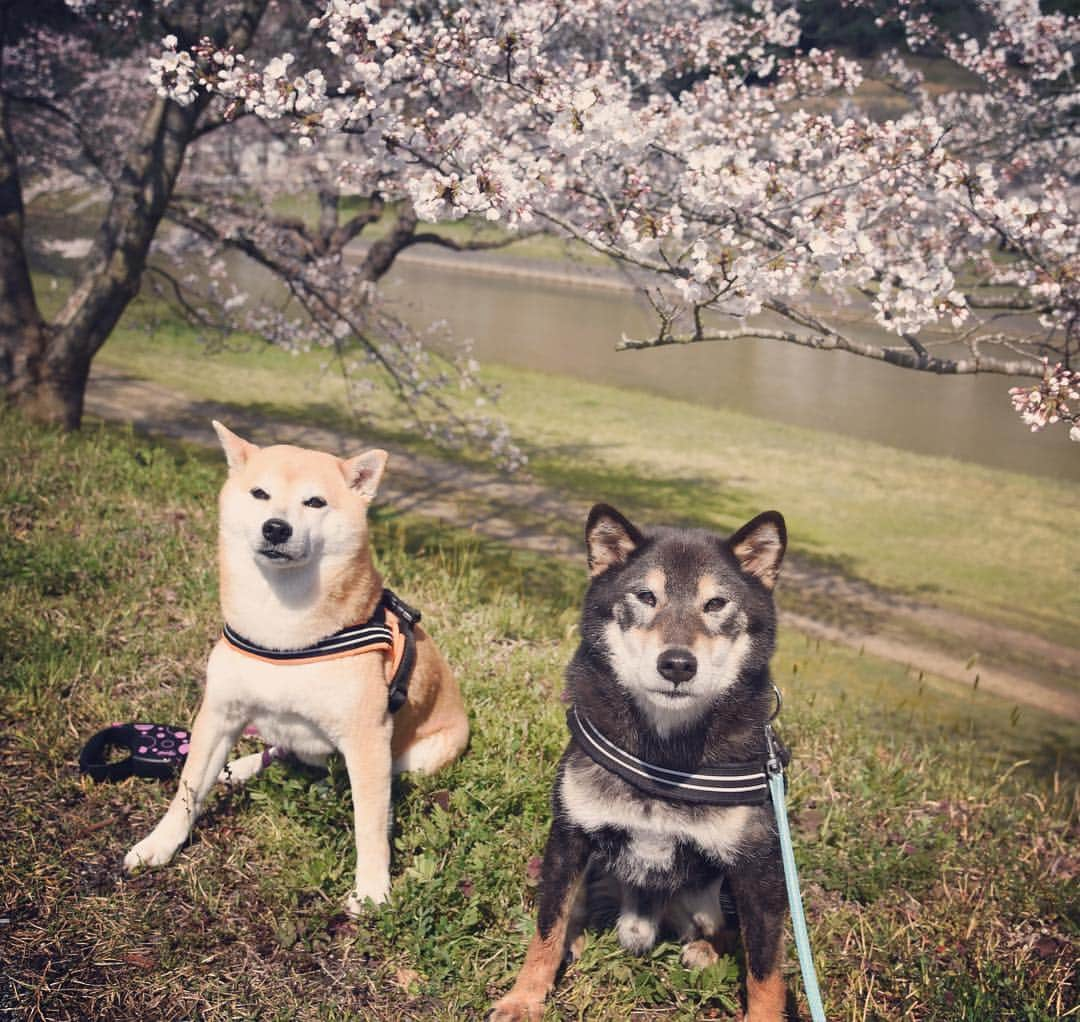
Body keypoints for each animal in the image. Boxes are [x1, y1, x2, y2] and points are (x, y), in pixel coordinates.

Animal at [125, 419, 468, 911]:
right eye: (259, 493)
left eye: (315, 502)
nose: (275, 528)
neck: (283, 630)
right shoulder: (218, 715)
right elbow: (188, 790)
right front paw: (160, 844)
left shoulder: (367, 737)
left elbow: (370, 826)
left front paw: (372, 890)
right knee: (279, 749)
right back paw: (241, 769)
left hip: (420, 756)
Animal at [494, 503, 790, 1019]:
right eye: (646, 596)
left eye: (716, 604)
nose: (677, 664)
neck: (664, 755)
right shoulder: (569, 838)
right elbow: (547, 927)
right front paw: (525, 997)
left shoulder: (760, 871)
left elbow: (766, 973)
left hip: (711, 895)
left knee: (726, 932)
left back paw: (705, 951)